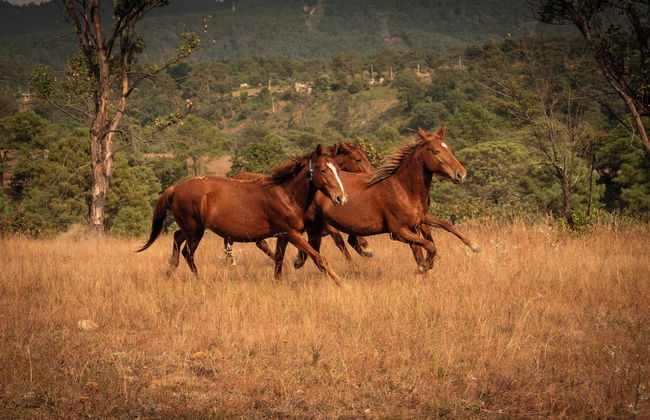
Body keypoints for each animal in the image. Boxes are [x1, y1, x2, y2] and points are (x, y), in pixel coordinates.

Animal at [137, 144, 349, 286]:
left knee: (176, 239)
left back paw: (169, 271)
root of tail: (176, 187)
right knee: (187, 253)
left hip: (190, 229)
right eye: (323, 170)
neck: (285, 194)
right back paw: (199, 279)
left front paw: (278, 282)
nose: (341, 198)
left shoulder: (283, 235)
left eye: (338, 170)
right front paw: (341, 283)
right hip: (195, 232)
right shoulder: (292, 234)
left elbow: (279, 260)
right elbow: (318, 258)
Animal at [288, 126, 467, 273]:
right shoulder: (398, 232)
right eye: (435, 152)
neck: (402, 189)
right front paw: (424, 267)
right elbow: (429, 246)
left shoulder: (416, 224)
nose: (461, 174)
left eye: (450, 149)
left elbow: (430, 242)